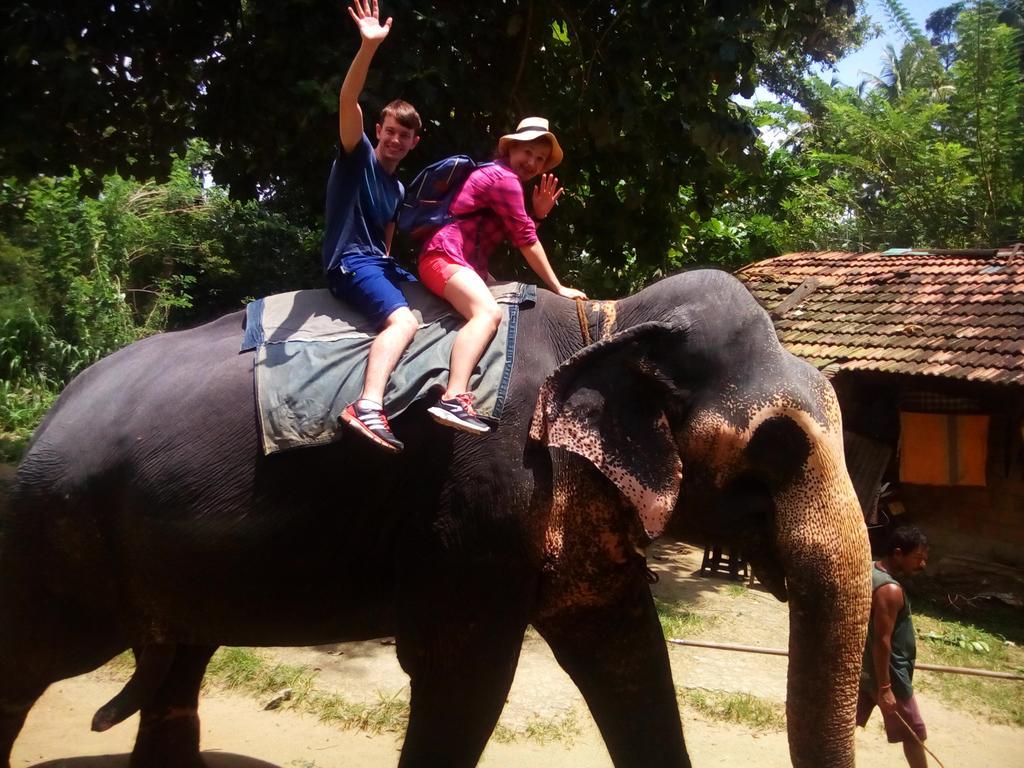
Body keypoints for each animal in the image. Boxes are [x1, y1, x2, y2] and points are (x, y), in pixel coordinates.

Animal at [2, 268, 872, 765]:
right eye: (779, 444)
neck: (607, 321)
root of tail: (47, 419)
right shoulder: (482, 494)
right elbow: (464, 677)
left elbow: (629, 659)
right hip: (60, 537)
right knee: (33, 663)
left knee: (177, 673)